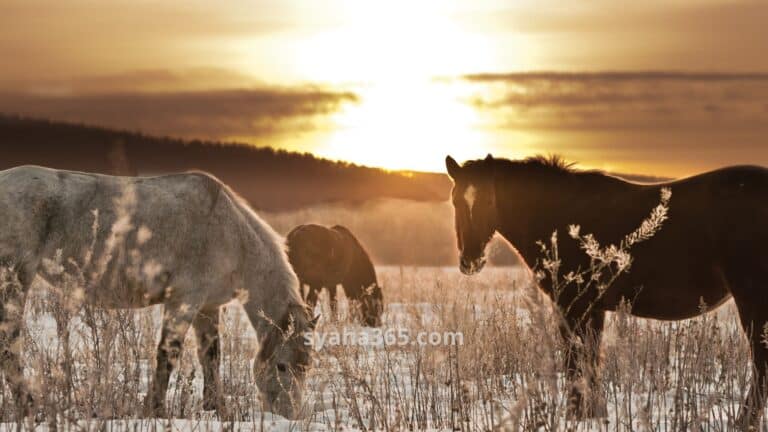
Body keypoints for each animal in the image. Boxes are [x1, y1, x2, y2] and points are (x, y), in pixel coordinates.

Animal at [0, 165, 316, 418]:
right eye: (282, 366)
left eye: (307, 367)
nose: (289, 415)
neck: (230, 232)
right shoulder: (184, 300)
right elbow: (168, 354)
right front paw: (155, 409)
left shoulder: (207, 307)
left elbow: (211, 356)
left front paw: (216, 408)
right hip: (16, 277)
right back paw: (28, 407)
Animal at [448, 154, 768, 426]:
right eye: (455, 201)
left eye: (489, 200)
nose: (470, 261)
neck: (558, 215)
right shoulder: (593, 308)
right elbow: (590, 360)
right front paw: (593, 414)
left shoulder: (573, 306)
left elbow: (576, 361)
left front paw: (576, 415)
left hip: (752, 299)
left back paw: (744, 421)